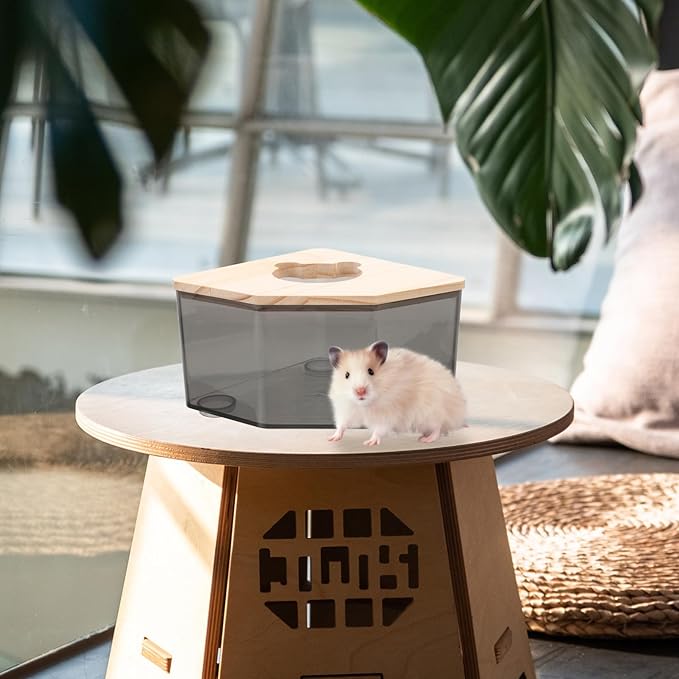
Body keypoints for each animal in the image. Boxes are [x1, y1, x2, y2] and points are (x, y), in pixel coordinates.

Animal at [327, 340, 466, 446]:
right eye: (346, 375)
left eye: (371, 371)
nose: (360, 391)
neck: (364, 405)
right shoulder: (345, 409)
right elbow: (341, 425)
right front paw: (332, 438)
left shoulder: (387, 414)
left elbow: (379, 430)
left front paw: (369, 443)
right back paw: (422, 436)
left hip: (431, 413)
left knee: (438, 428)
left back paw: (426, 440)